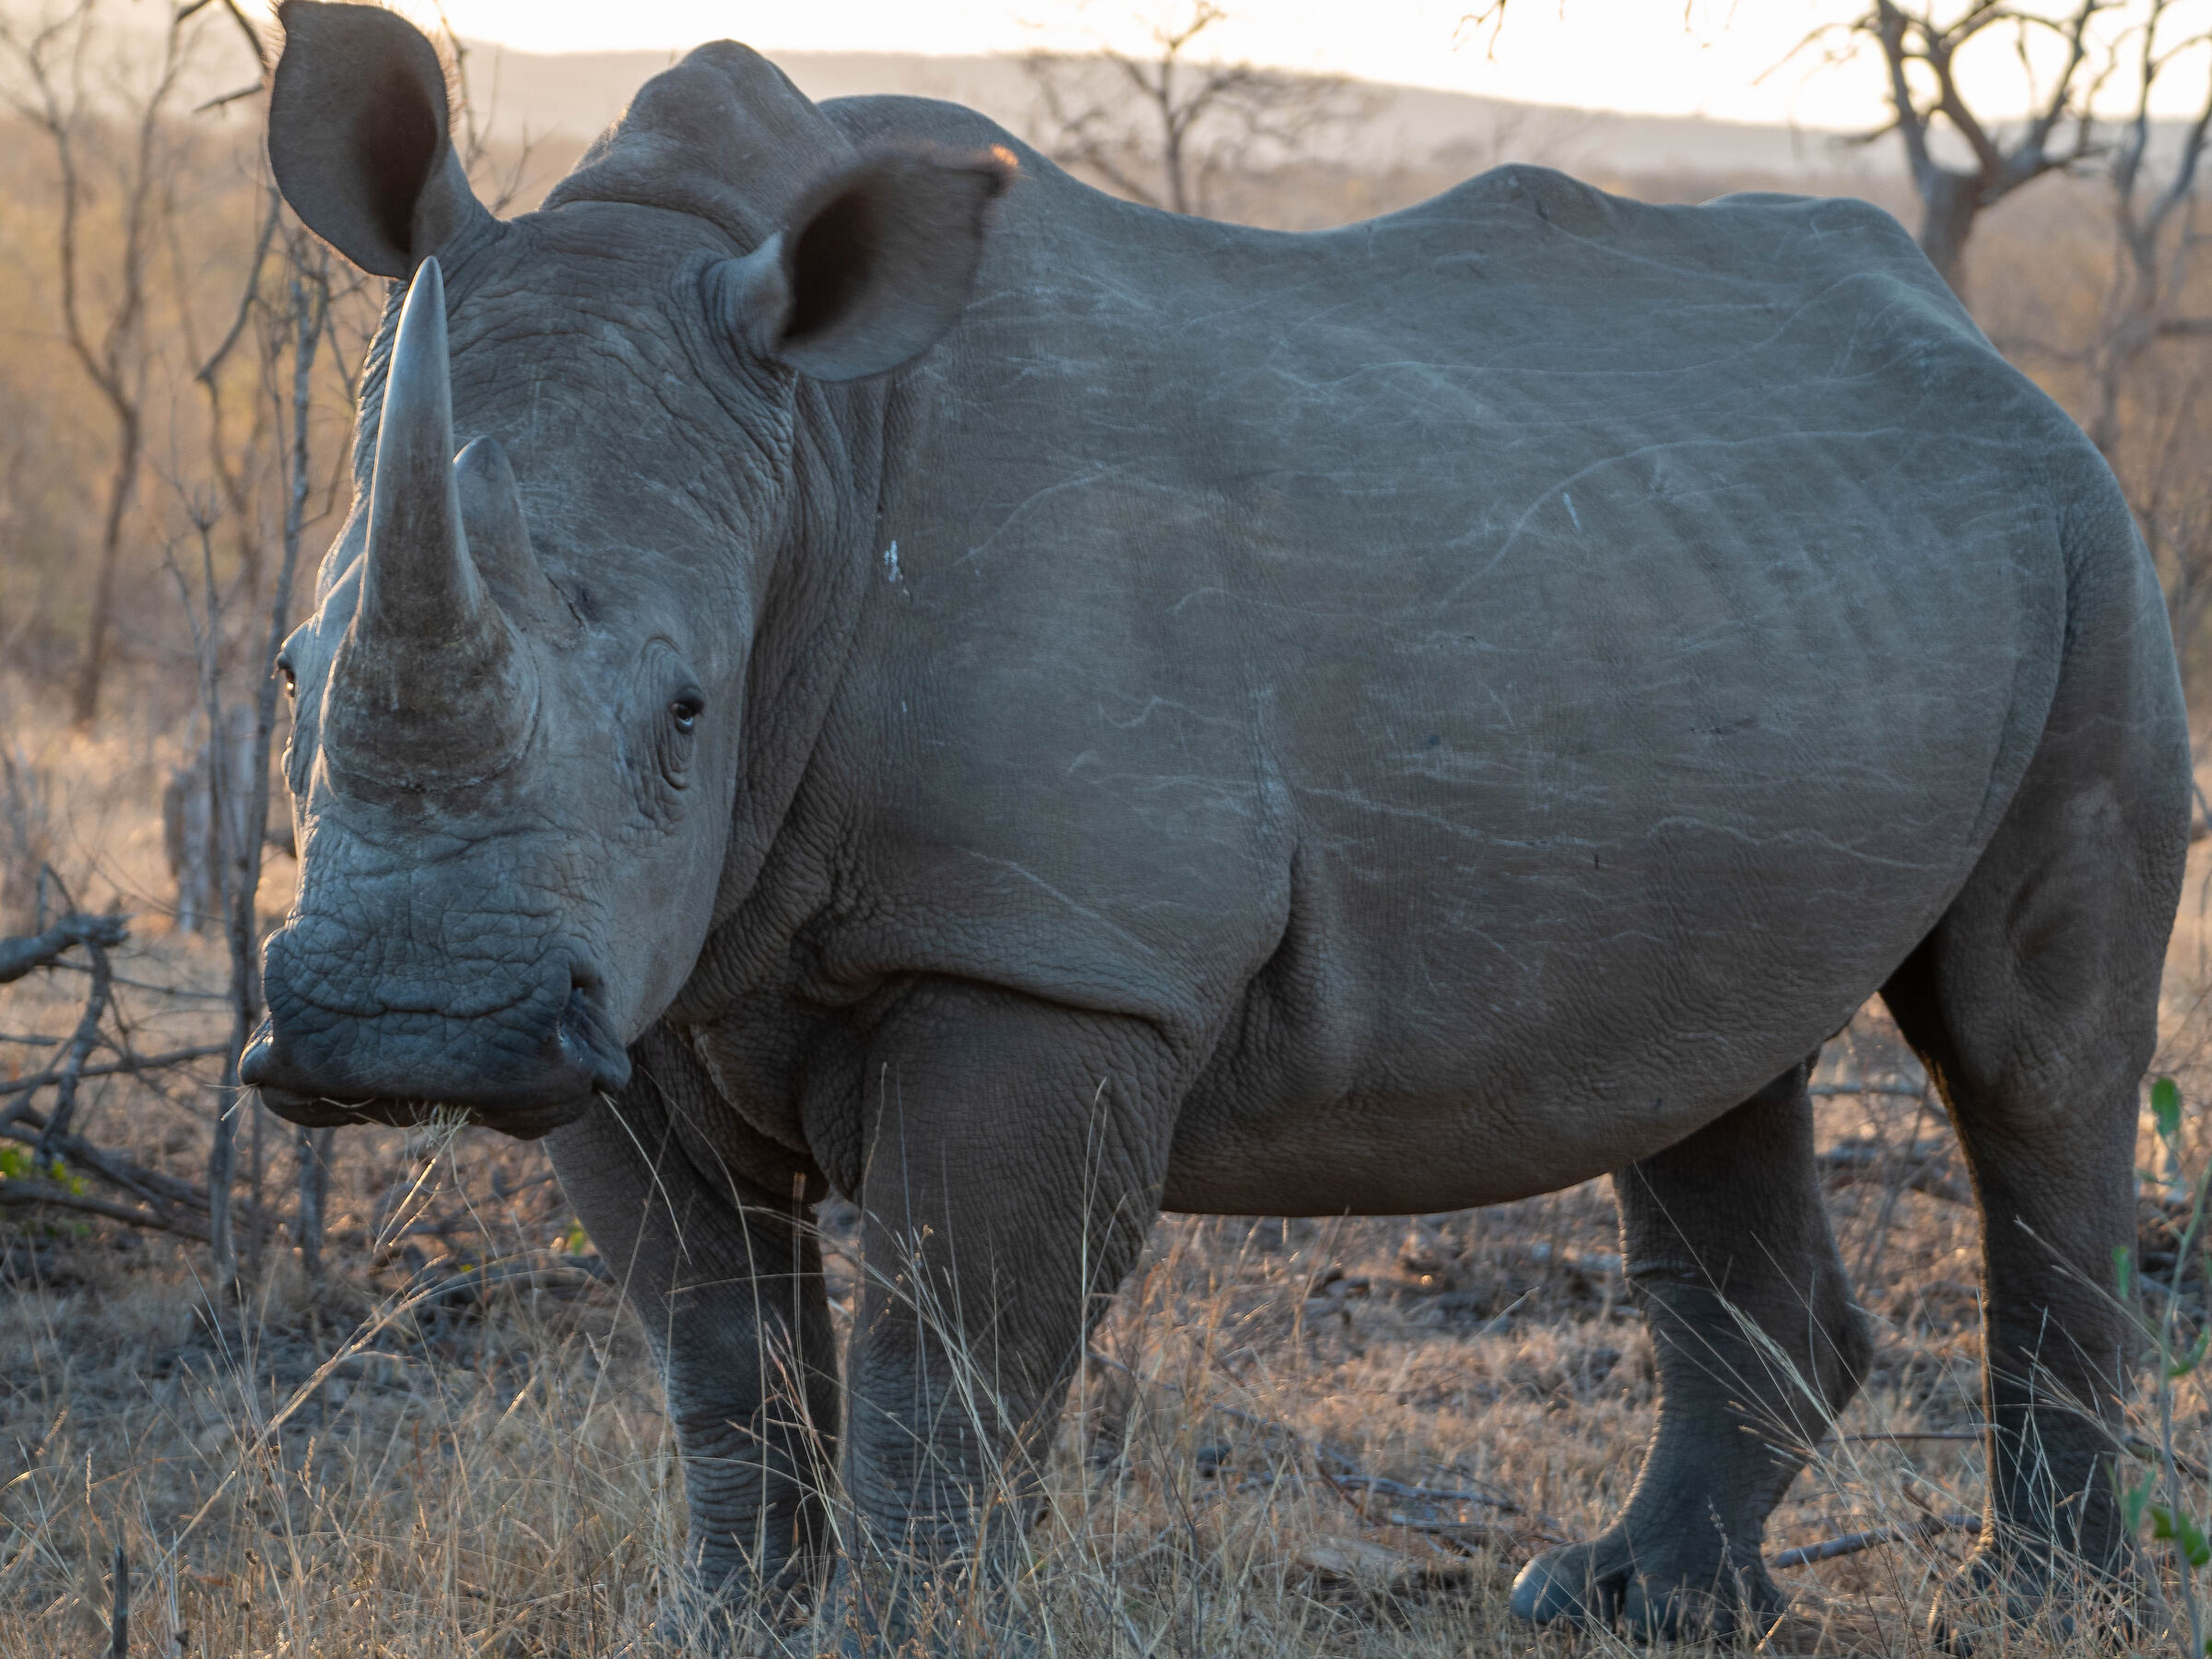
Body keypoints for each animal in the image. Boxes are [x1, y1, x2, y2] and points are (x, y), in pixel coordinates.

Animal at [246, 1, 2189, 1645]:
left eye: (684, 711)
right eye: (288, 678)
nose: (406, 1032)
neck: (814, 458)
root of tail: (1986, 348)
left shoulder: (1050, 959)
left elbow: (951, 1368)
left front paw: (895, 1637)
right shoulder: (633, 986)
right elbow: (723, 1350)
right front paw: (724, 1630)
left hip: (2090, 538)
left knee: (2030, 1054)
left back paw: (2035, 1609)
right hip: (1755, 587)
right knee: (1705, 1055)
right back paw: (1630, 1602)